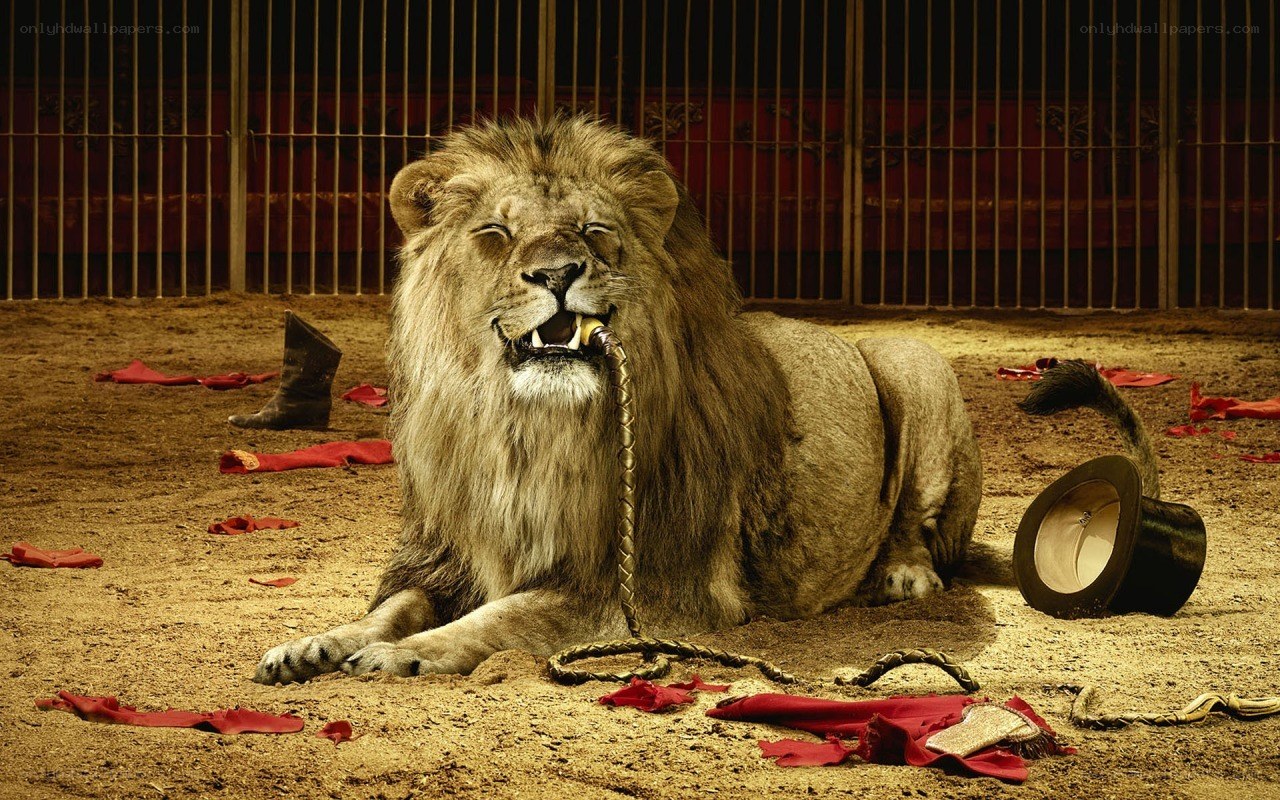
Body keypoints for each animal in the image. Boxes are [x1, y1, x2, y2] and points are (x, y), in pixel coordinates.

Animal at [253, 116, 982, 683]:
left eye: (594, 229)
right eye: (495, 233)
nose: (556, 273)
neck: (524, 430)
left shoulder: (650, 587)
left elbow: (503, 617)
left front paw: (405, 654)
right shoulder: (446, 556)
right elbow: (390, 608)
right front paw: (315, 644)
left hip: (913, 361)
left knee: (916, 520)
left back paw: (904, 577)